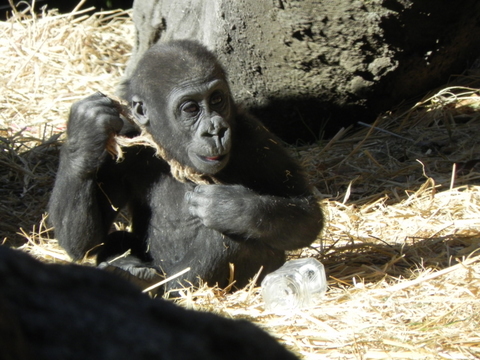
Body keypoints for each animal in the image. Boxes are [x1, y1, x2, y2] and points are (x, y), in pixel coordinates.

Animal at [48, 40, 324, 292]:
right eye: (191, 108)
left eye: (217, 99)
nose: (216, 130)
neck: (172, 154)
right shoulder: (127, 137)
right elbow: (85, 243)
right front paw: (84, 133)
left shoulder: (255, 138)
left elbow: (307, 213)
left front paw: (231, 206)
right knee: (116, 239)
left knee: (225, 240)